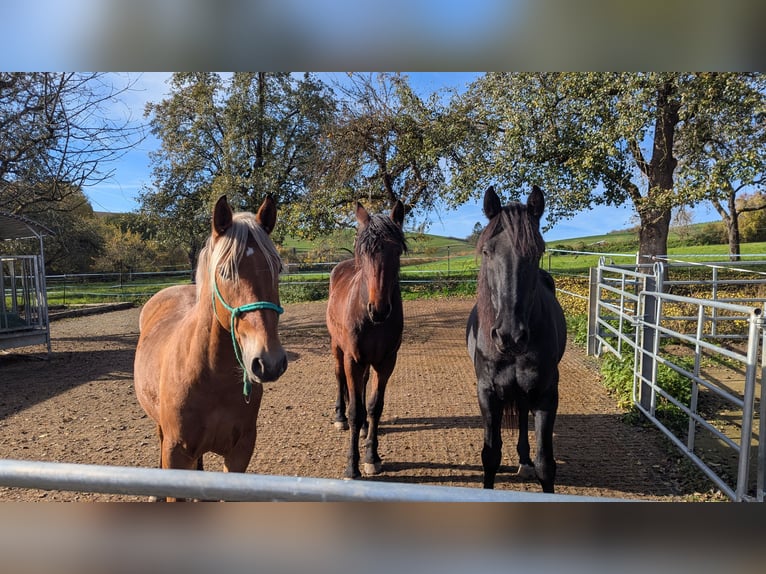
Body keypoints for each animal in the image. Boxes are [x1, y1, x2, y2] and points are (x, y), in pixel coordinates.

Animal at [134, 194, 287, 497]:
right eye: (225, 272)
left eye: (277, 268)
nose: (269, 361)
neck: (212, 378)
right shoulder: (176, 454)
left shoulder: (239, 453)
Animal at [326, 199, 407, 479]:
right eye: (364, 252)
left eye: (397, 252)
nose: (379, 310)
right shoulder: (353, 358)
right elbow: (355, 411)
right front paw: (352, 466)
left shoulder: (387, 362)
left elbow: (373, 407)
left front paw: (372, 457)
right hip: (337, 348)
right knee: (340, 377)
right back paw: (340, 417)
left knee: (361, 386)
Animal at [466, 185, 566, 493]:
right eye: (487, 251)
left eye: (537, 252)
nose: (509, 335)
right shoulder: (487, 393)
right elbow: (490, 455)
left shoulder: (547, 394)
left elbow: (546, 464)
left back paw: (524, 460)